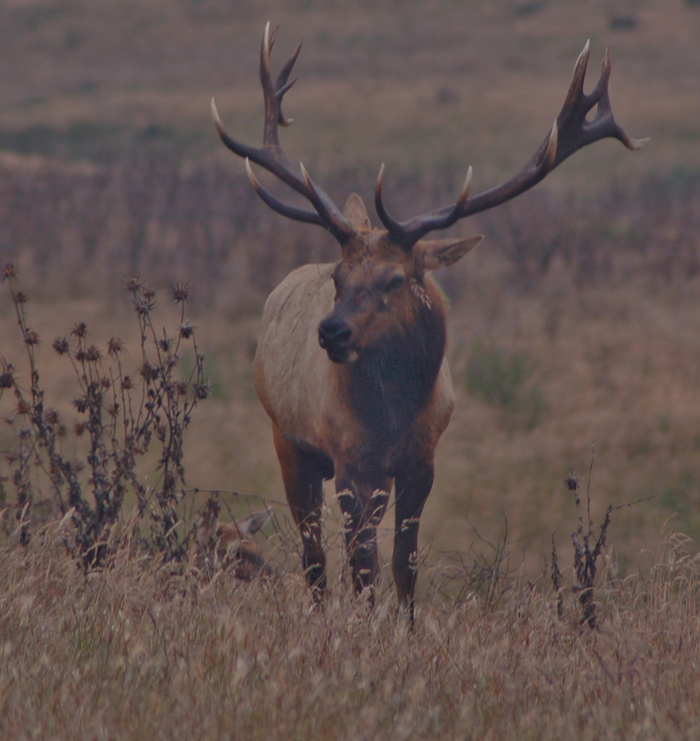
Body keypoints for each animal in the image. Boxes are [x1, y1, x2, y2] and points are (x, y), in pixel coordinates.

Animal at [211, 23, 648, 620]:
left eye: (395, 279)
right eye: (338, 277)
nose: (331, 331)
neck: (394, 415)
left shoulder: (421, 459)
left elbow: (403, 563)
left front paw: (407, 625)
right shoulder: (350, 460)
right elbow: (362, 566)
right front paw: (367, 623)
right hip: (289, 440)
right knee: (314, 554)